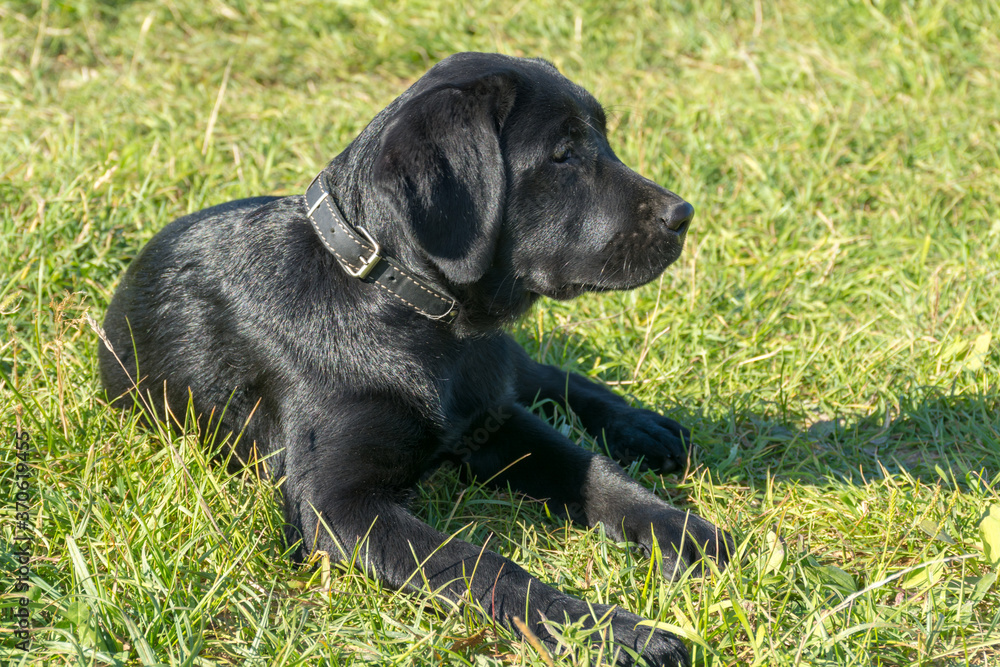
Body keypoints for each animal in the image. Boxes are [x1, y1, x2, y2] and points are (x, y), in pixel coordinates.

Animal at [99, 53, 728, 667]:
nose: (684, 214)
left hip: (499, 367)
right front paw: (608, 630)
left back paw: (641, 425)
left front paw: (684, 532)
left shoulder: (491, 420)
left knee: (543, 374)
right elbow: (480, 564)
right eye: (562, 154)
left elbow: (595, 472)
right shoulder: (337, 505)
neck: (402, 305)